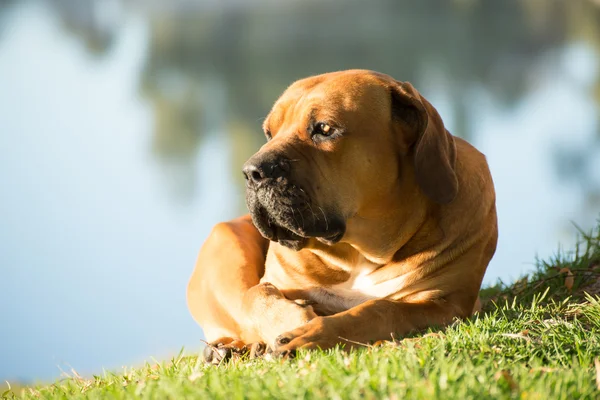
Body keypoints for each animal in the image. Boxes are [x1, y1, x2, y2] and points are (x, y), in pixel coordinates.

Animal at [186, 69, 496, 356]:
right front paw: (294, 319)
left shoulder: (446, 302)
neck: (359, 251)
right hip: (227, 244)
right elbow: (256, 296)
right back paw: (224, 351)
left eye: (324, 129)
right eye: (269, 133)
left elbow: (377, 309)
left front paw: (312, 332)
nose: (252, 172)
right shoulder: (271, 282)